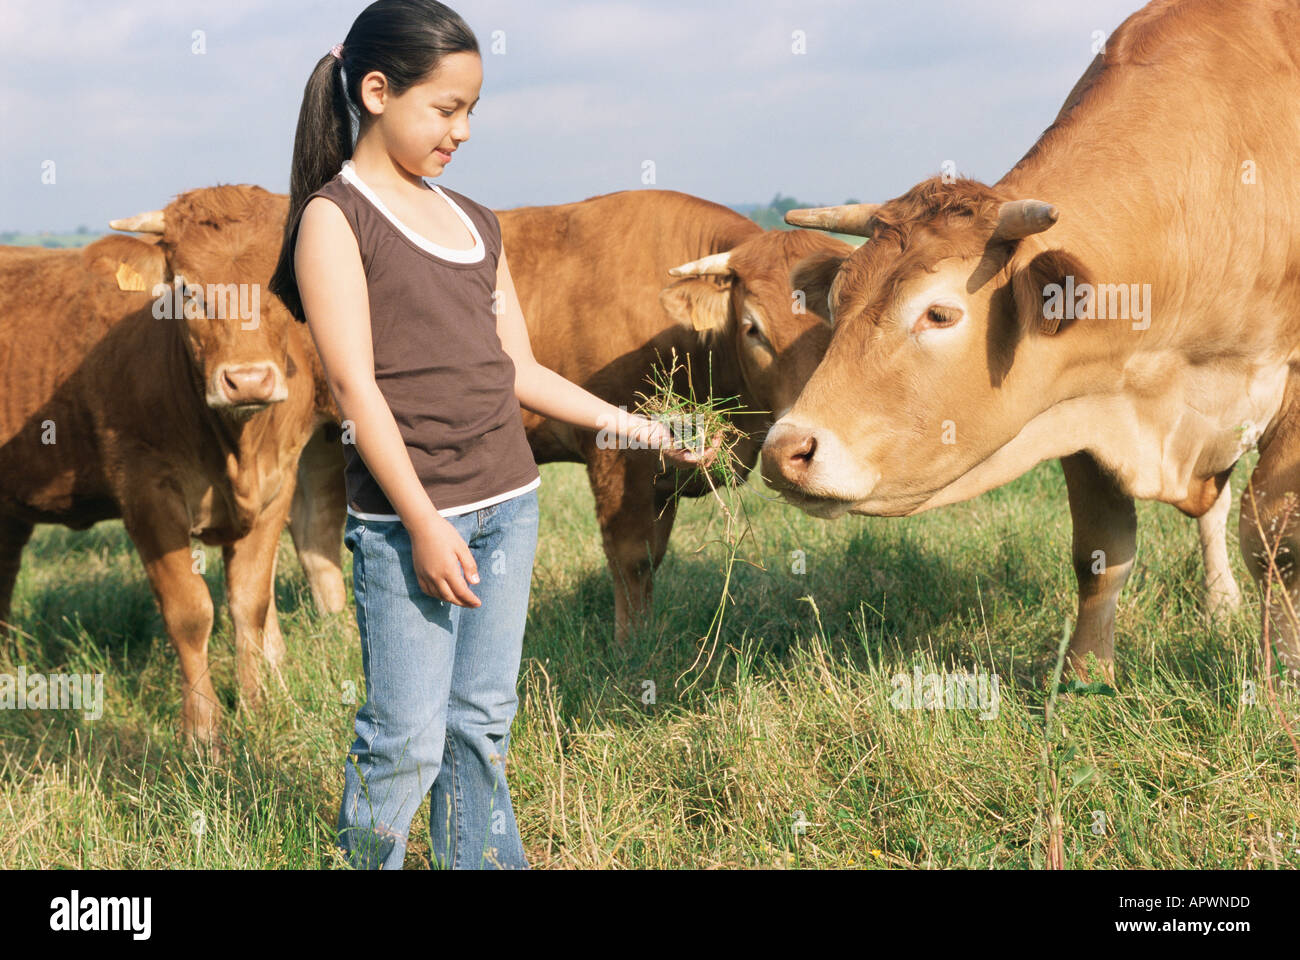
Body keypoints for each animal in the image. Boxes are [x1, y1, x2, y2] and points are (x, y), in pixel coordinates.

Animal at [1, 183, 335, 744]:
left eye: (279, 285)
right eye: (187, 290)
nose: (248, 380)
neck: (236, 448)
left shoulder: (278, 487)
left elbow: (250, 604)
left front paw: (258, 712)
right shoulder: (146, 491)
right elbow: (190, 612)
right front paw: (202, 733)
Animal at [759, 0, 1289, 676]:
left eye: (939, 314)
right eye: (835, 300)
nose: (784, 450)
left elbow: (1274, 534)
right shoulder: (1081, 400)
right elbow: (1100, 552)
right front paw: (1088, 676)